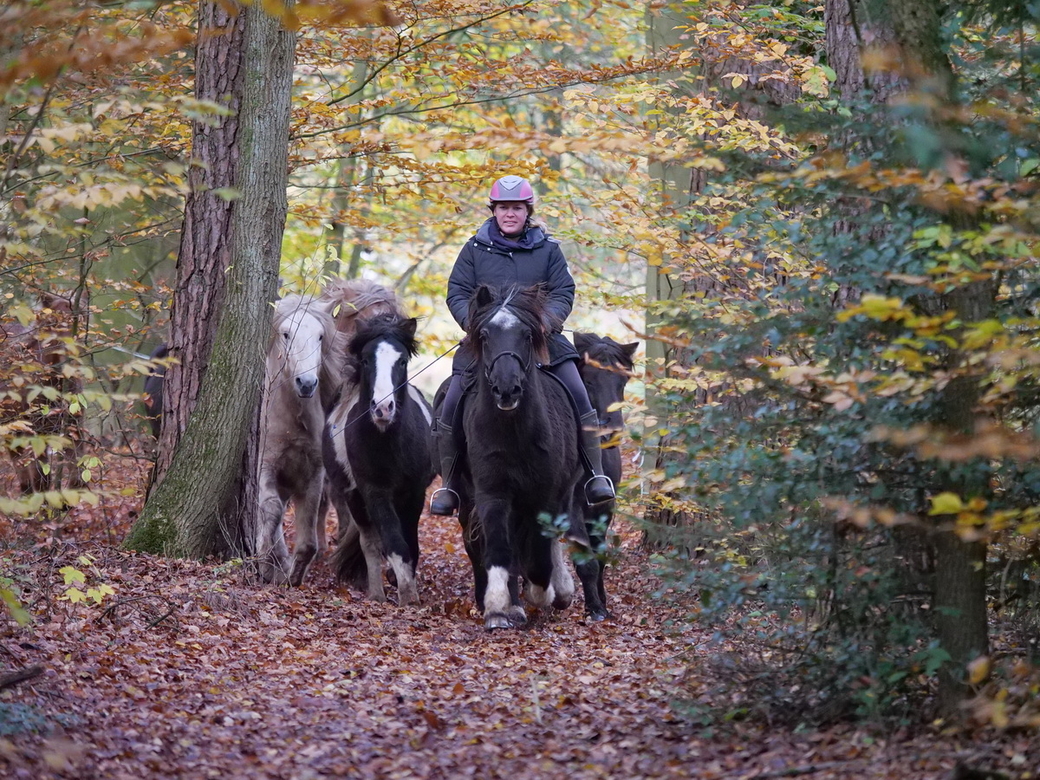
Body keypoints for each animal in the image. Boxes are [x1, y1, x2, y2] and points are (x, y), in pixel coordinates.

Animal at [252, 295, 341, 586]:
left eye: (320, 336)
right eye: (286, 334)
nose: (306, 383)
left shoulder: (312, 475)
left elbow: (309, 540)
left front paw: (292, 573)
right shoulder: (265, 467)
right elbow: (271, 510)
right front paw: (268, 562)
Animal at [320, 312, 434, 603]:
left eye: (402, 361)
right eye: (365, 360)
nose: (383, 408)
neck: (389, 442)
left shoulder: (415, 492)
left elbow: (411, 542)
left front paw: (406, 588)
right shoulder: (374, 492)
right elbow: (394, 543)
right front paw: (407, 597)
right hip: (354, 497)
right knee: (369, 542)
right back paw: (376, 594)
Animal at [447, 284, 594, 632]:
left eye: (526, 335)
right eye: (484, 335)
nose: (507, 389)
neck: (513, 433)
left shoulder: (546, 496)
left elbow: (540, 554)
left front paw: (544, 593)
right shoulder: (492, 494)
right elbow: (501, 549)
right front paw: (499, 609)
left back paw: (559, 590)